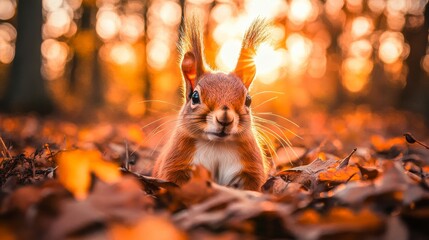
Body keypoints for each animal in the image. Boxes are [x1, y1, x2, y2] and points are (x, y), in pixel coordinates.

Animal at [152, 17, 270, 191]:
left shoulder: (250, 170)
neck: (216, 145)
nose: (225, 118)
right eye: (195, 97)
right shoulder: (175, 165)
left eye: (248, 100)